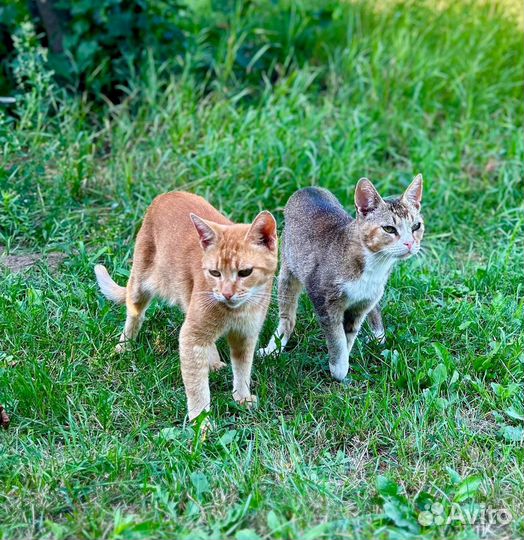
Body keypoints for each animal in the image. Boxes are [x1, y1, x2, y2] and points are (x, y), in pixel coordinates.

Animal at [96, 193, 280, 422]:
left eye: (245, 272)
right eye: (215, 273)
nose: (226, 293)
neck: (237, 312)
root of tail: (167, 194)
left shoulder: (246, 336)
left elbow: (242, 370)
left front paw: (242, 398)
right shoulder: (191, 336)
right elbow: (196, 387)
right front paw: (201, 422)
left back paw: (213, 362)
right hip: (140, 284)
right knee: (134, 314)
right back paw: (124, 346)